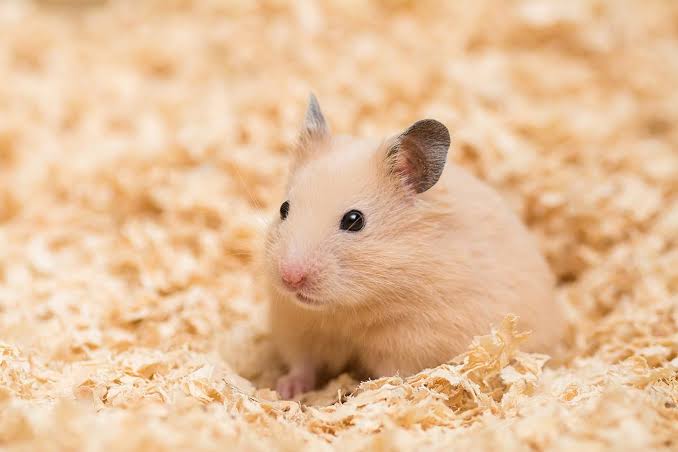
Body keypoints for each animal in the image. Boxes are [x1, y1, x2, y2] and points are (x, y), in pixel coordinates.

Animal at [264, 95, 564, 399]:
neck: (345, 311)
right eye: (284, 208)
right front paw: (285, 389)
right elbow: (302, 363)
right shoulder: (297, 324)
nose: (290, 278)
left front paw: (361, 392)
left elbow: (390, 375)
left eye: (354, 220)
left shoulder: (412, 342)